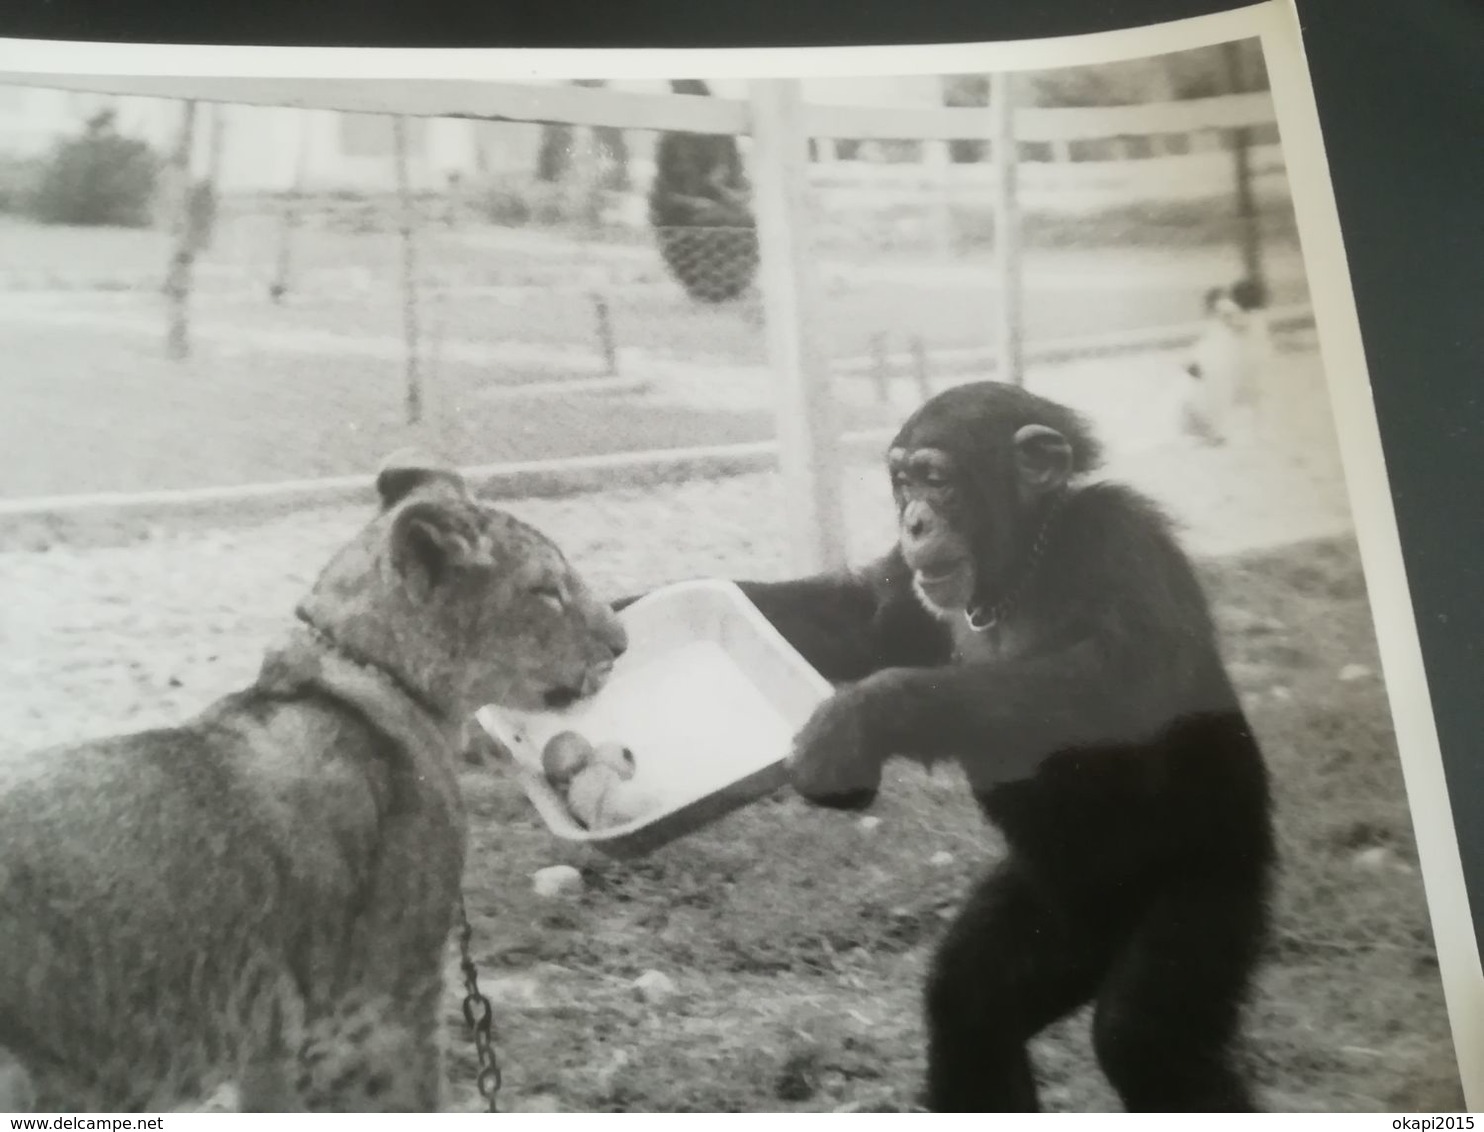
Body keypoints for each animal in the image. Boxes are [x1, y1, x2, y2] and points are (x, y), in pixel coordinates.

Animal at [614, 382, 1276, 1115]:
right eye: (901, 482)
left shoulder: (1122, 540)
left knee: (1145, 1038)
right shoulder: (907, 594)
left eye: (937, 479)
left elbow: (1125, 682)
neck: (1021, 571)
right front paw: (589, 619)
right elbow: (854, 624)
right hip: (1049, 912)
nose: (914, 522)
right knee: (969, 1002)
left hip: (1211, 890)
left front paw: (861, 716)